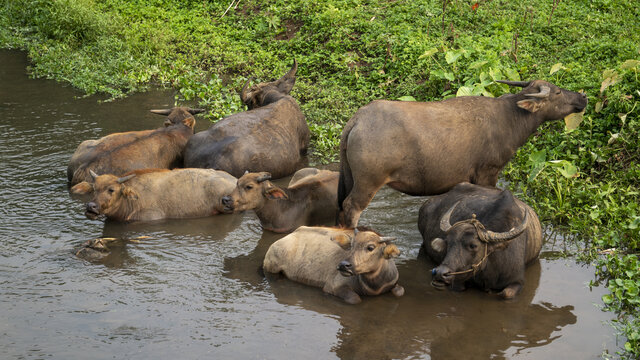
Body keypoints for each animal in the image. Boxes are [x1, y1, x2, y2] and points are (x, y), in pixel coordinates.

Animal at [262, 226, 402, 306]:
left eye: (371, 247)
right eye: (351, 245)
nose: (343, 265)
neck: (374, 285)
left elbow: (400, 291)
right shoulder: (333, 287)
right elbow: (355, 299)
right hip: (272, 267)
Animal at [338, 80, 588, 226]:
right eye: (557, 92)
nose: (583, 97)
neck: (510, 117)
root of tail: (359, 119)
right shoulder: (488, 173)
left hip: (349, 177)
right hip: (368, 182)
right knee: (351, 208)